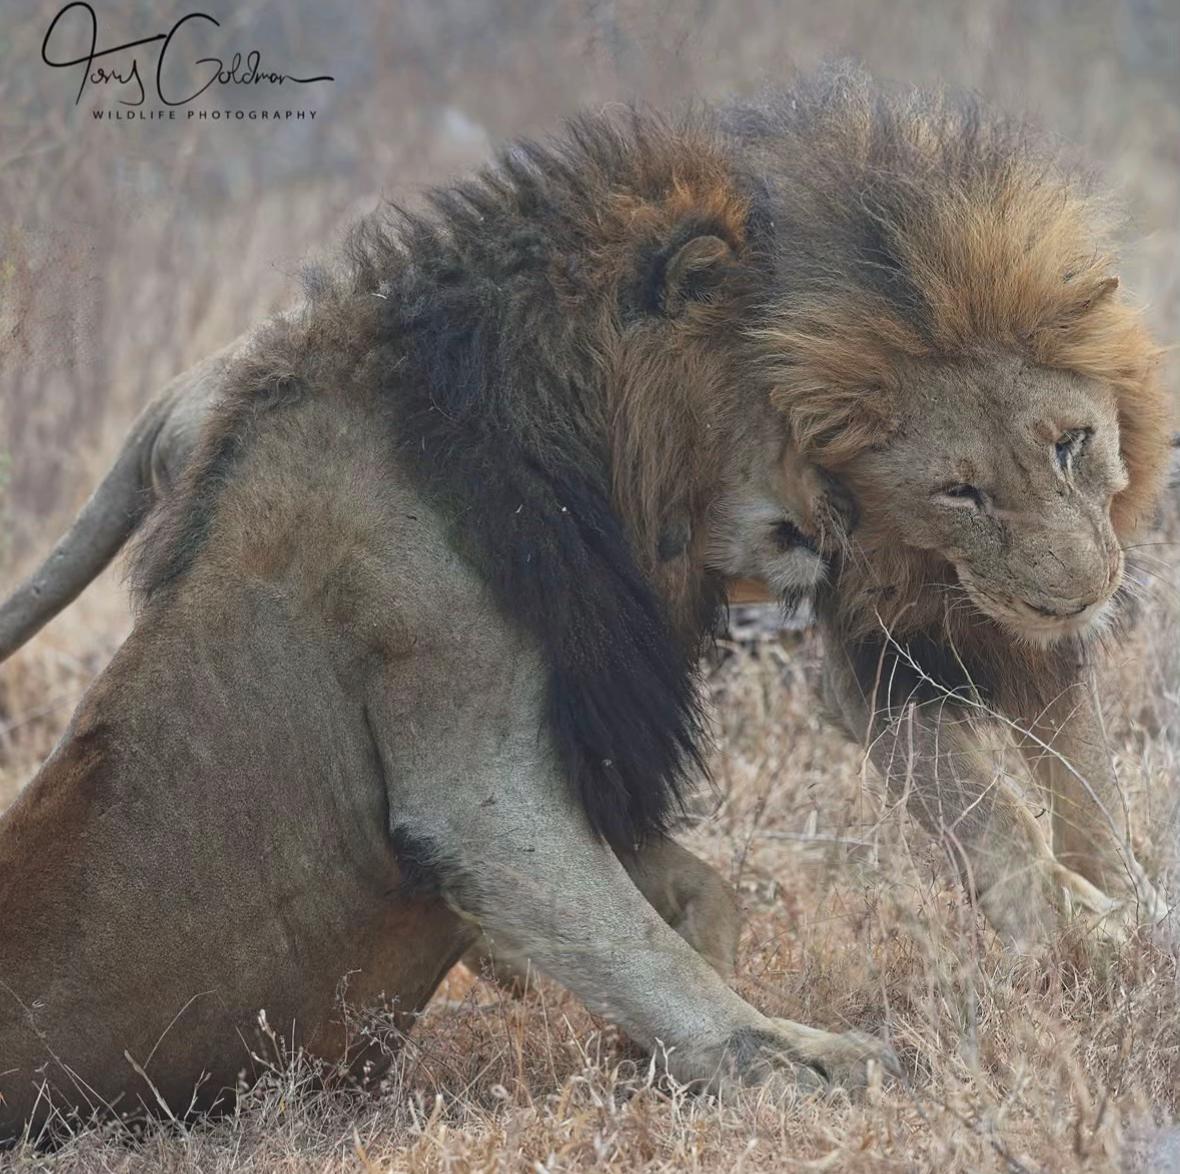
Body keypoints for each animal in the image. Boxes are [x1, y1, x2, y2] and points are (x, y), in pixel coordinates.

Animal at [0, 108, 892, 1141]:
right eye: (796, 388)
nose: (858, 515)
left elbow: (698, 894)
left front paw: (643, 1047)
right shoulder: (469, 774)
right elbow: (632, 943)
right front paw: (801, 1059)